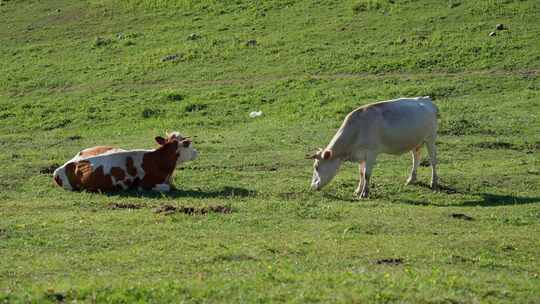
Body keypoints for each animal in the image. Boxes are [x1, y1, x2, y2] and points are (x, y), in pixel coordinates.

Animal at [308, 96, 438, 198]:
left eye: (316, 167)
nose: (312, 186)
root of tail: (426, 99)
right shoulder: (360, 154)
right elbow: (361, 173)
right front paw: (358, 190)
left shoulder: (371, 152)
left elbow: (367, 174)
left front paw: (364, 193)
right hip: (416, 142)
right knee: (416, 157)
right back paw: (411, 179)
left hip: (430, 138)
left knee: (433, 160)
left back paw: (433, 182)